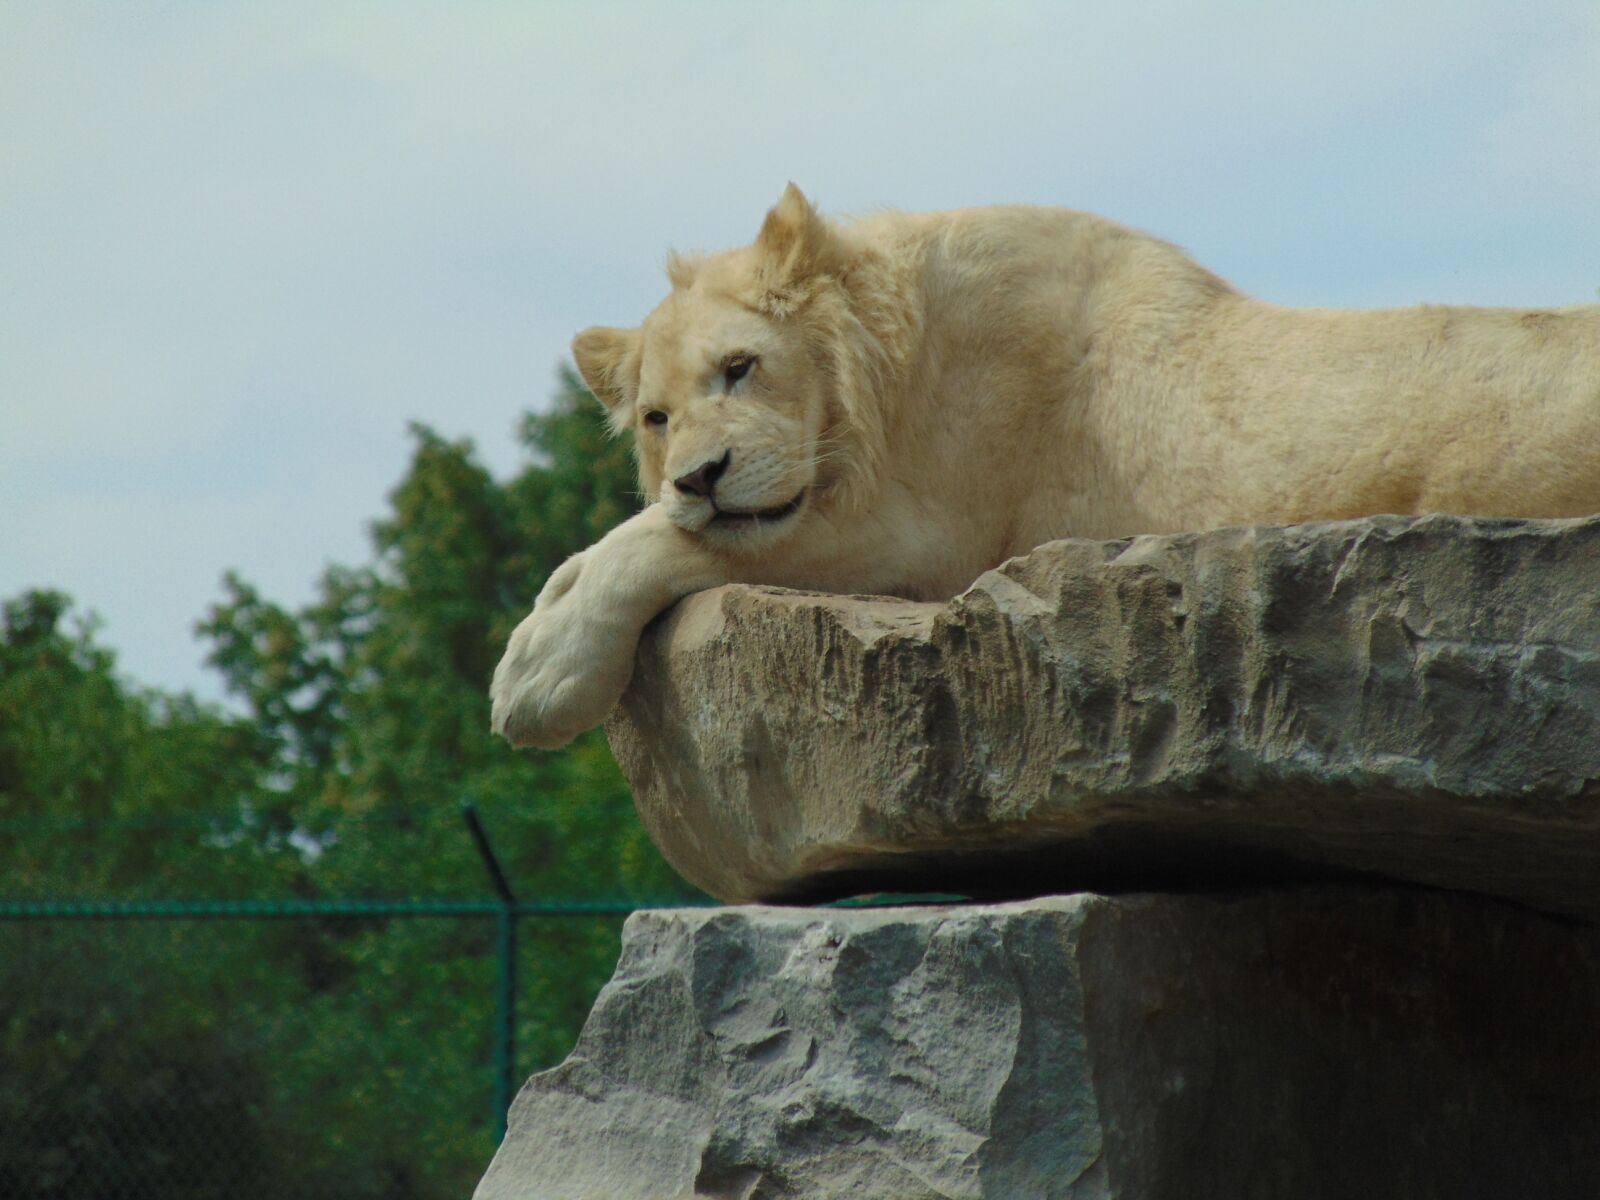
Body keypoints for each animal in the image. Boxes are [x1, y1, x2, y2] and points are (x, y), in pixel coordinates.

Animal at [490, 184, 1600, 749]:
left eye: (740, 367)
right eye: (655, 418)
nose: (699, 476)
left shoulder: (928, 538)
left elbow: (659, 546)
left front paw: (538, 677)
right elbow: (630, 537)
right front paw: (548, 615)